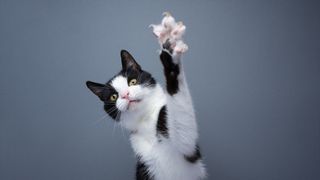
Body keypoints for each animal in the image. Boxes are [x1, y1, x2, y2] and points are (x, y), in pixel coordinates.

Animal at [85, 13, 206, 180]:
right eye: (113, 97)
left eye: (132, 81)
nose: (125, 95)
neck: (146, 121)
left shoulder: (187, 150)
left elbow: (183, 129)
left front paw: (169, 51)